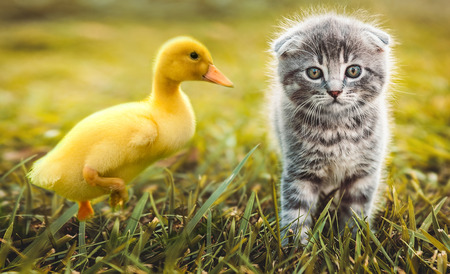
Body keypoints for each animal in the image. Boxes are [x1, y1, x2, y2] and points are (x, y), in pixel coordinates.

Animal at [268, 12, 392, 244]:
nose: (335, 91)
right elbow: (296, 208)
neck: (337, 129)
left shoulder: (364, 171)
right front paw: (296, 246)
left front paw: (353, 241)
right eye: (314, 72)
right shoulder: (300, 170)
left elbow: (356, 209)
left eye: (353, 70)